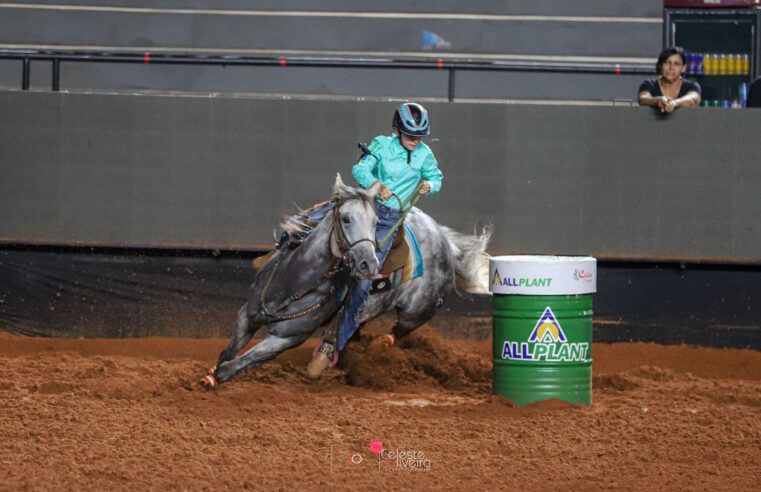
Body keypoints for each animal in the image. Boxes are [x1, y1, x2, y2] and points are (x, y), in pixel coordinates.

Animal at [199, 174, 490, 388]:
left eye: (375, 222)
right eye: (346, 218)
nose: (369, 264)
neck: (291, 286)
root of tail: (446, 242)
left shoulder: (288, 338)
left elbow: (237, 364)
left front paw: (212, 379)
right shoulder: (246, 315)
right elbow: (228, 353)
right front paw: (211, 369)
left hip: (418, 310)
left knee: (399, 329)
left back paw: (376, 345)